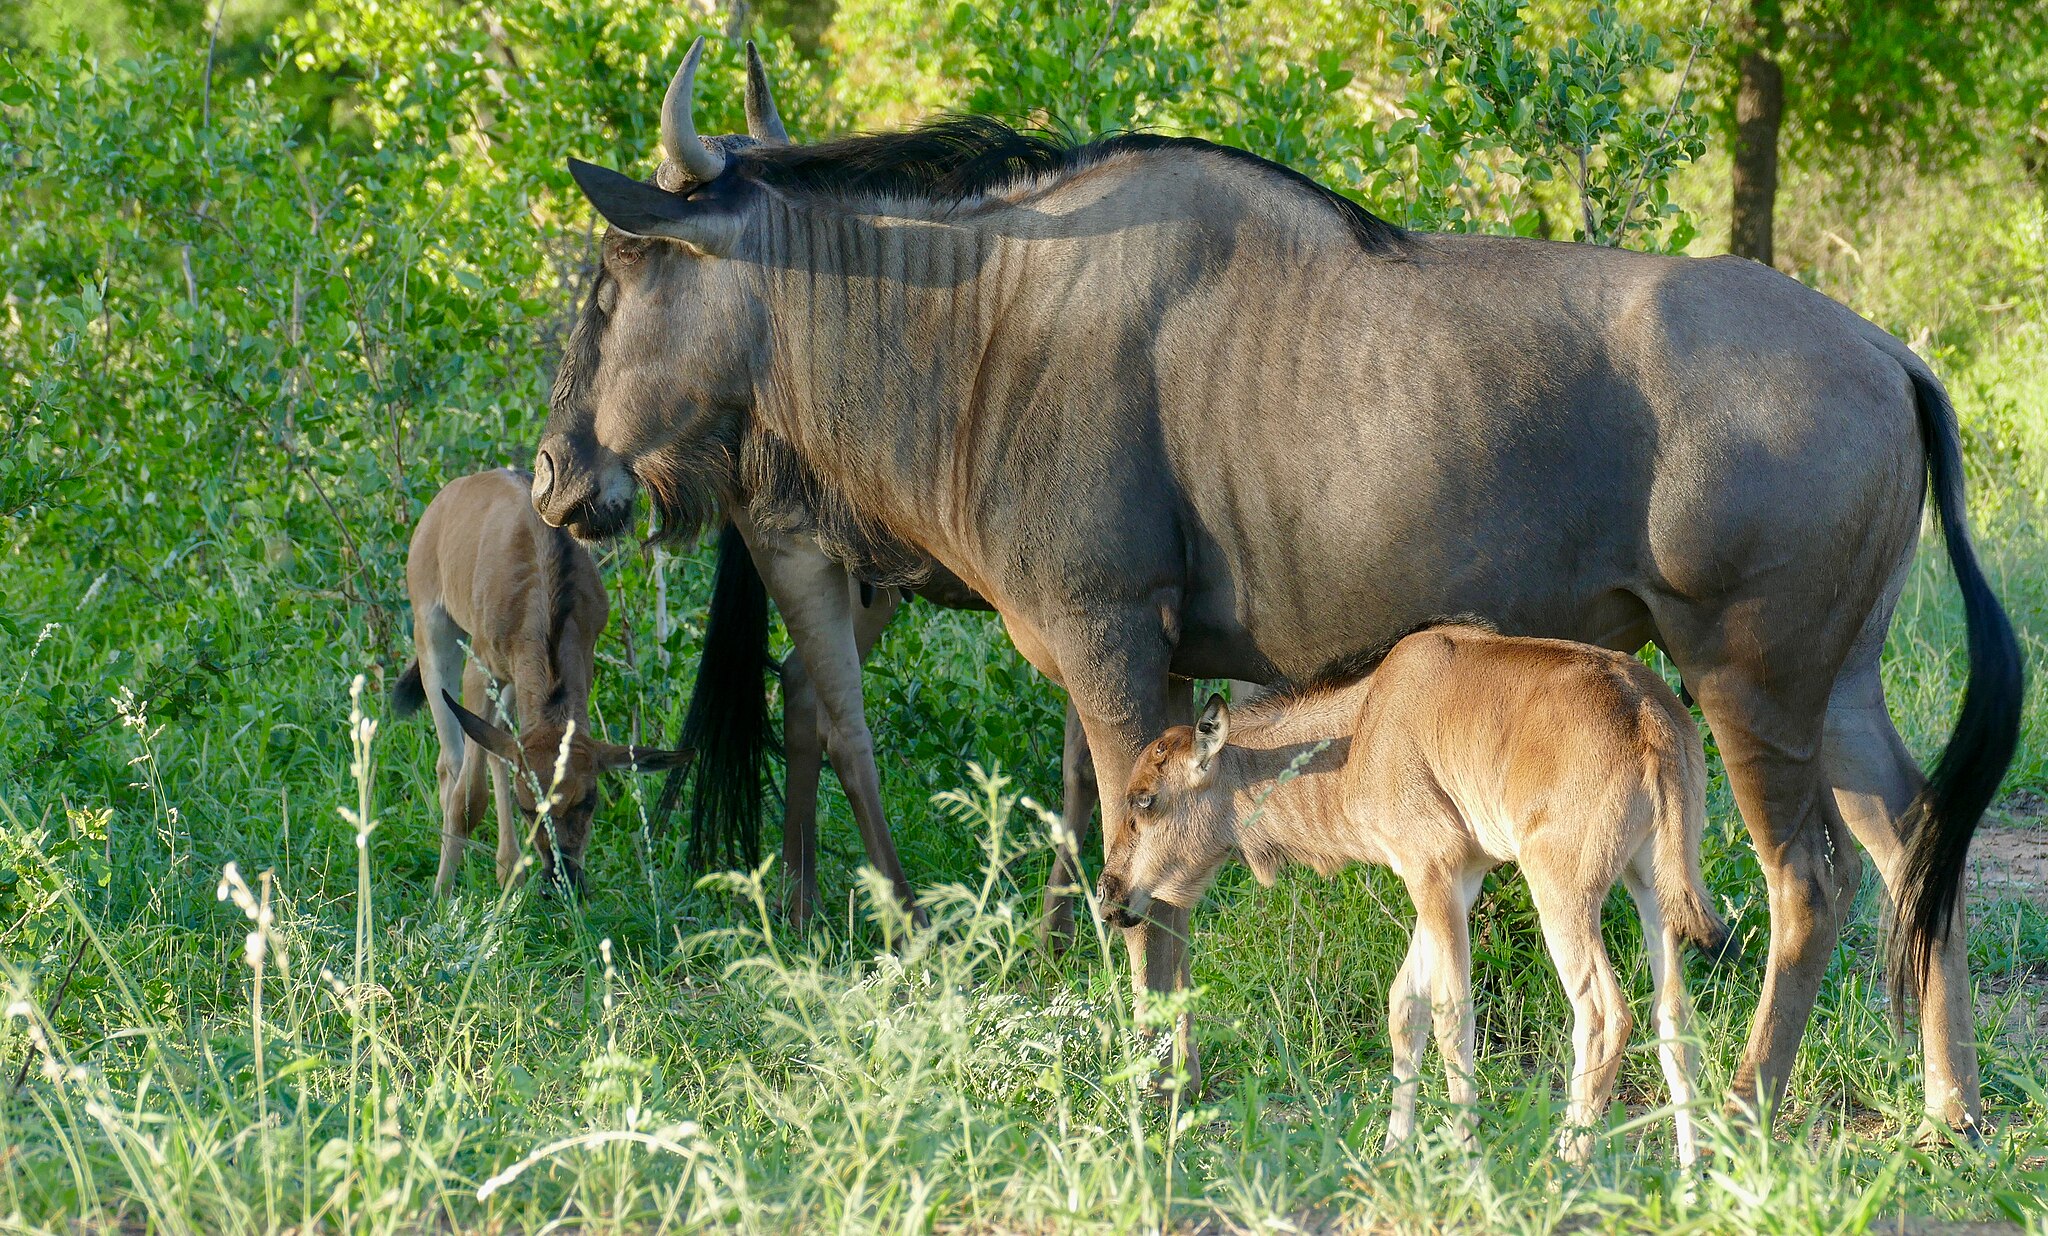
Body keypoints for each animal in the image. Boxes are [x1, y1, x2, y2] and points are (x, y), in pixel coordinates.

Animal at [391, 468, 688, 892]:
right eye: (527, 807)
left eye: (588, 800)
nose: (562, 877)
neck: (543, 593)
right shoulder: (479, 669)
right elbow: (469, 799)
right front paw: (441, 897)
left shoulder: (575, 658)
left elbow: (501, 750)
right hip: (432, 631)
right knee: (451, 762)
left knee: (496, 746)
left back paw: (508, 867)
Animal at [1097, 626, 1720, 1170]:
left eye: (1146, 799)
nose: (1109, 894)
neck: (1365, 725)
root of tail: (1649, 715)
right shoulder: (1455, 880)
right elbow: (1406, 1006)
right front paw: (1395, 1152)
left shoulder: (1430, 871)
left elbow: (1451, 1015)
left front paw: (1467, 1162)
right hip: (1652, 888)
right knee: (1674, 1016)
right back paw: (1690, 1176)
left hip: (1562, 893)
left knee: (1604, 1015)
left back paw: (1565, 1166)